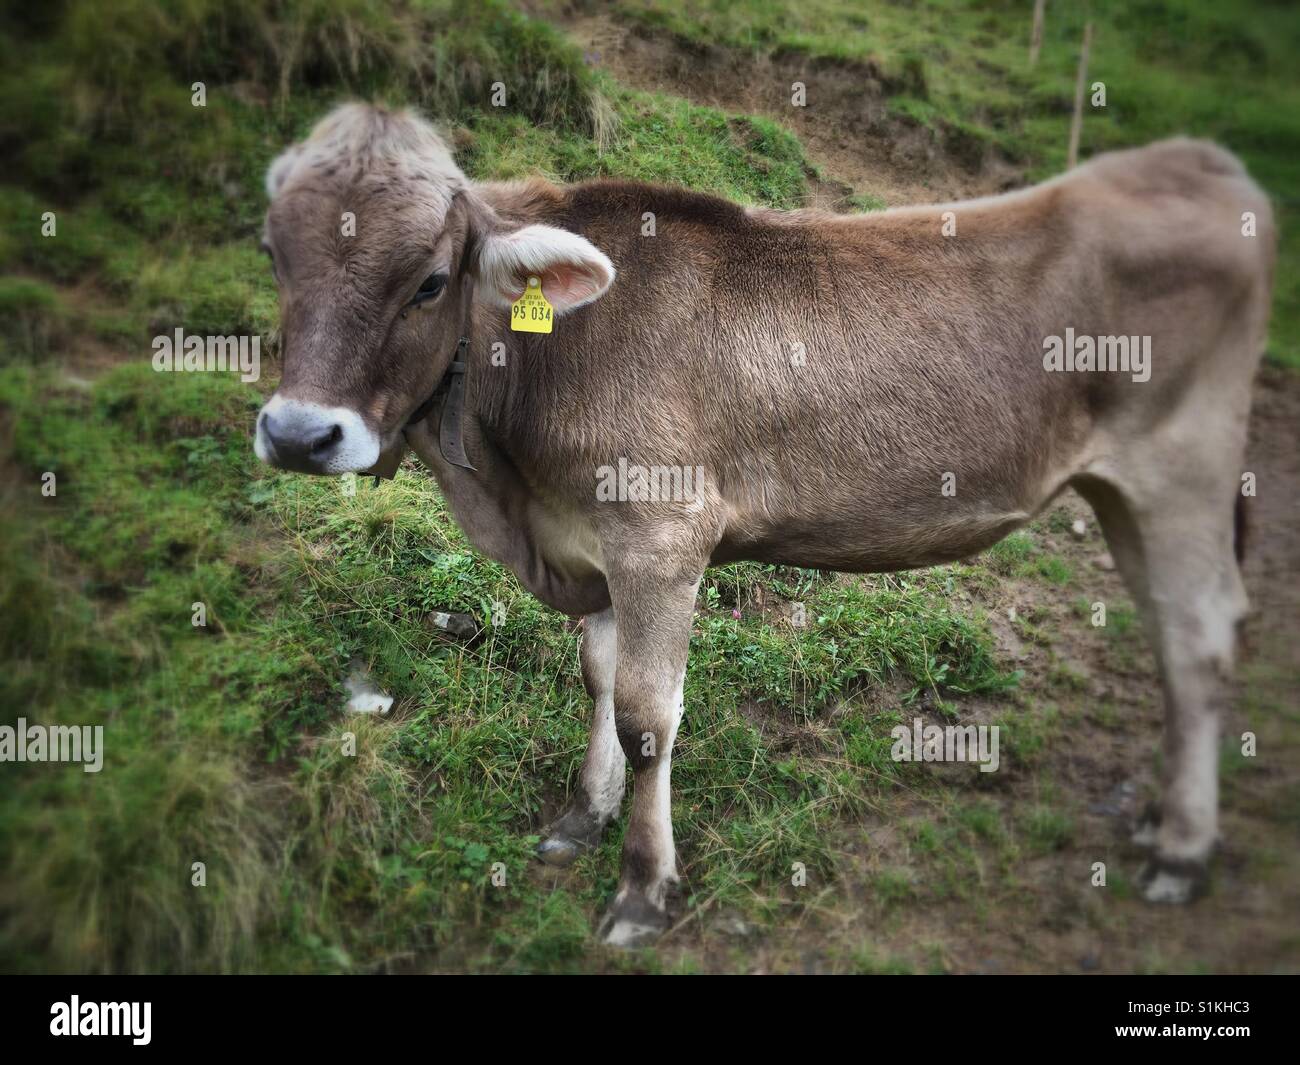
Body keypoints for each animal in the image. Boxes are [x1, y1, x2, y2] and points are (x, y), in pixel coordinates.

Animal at [254, 103, 1275, 946]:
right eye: (273, 253)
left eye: (431, 282)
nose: (301, 434)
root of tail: (1198, 160)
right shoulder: (597, 537)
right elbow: (597, 676)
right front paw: (583, 817)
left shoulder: (661, 534)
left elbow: (646, 715)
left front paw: (641, 889)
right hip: (1124, 492)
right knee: (1167, 634)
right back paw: (1161, 817)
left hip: (1180, 470)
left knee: (1196, 639)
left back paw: (1181, 851)